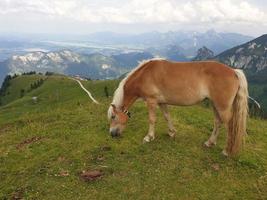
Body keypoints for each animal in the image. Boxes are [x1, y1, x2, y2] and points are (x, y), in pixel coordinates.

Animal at [107, 59, 249, 156]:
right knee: (217, 122)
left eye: (113, 116)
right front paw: (172, 132)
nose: (112, 134)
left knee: (230, 126)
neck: (145, 74)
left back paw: (227, 151)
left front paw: (149, 137)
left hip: (222, 107)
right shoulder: (161, 102)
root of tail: (234, 71)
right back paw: (210, 142)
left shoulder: (151, 101)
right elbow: (167, 116)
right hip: (215, 104)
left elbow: (152, 120)